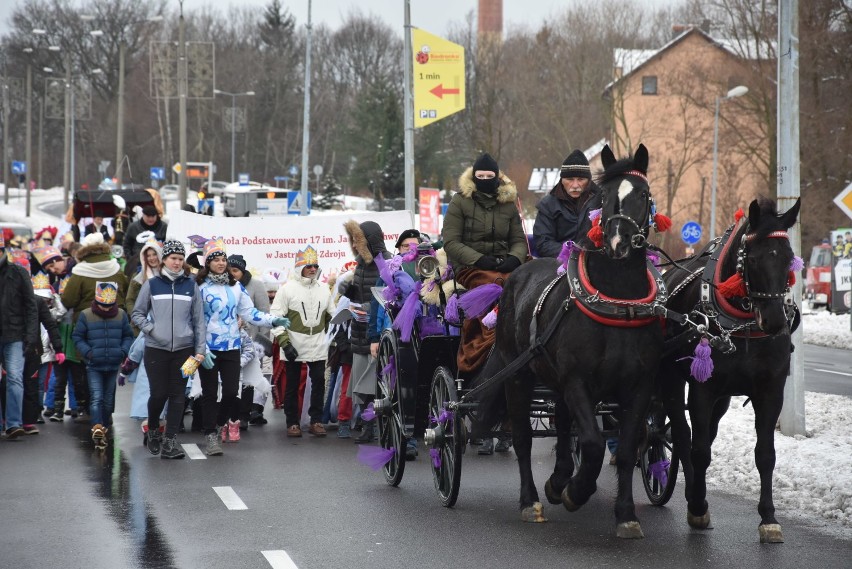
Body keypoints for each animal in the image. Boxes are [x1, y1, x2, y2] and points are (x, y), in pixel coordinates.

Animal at [480, 144, 664, 540]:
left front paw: (626, 515)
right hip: (518, 375)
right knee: (523, 438)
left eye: (643, 195)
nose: (618, 243)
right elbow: (593, 444)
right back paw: (532, 500)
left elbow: (627, 447)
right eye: (604, 197)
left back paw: (559, 477)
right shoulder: (578, 380)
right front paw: (576, 492)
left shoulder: (639, 385)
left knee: (563, 423)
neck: (618, 305)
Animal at [660, 195, 804, 540]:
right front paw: (698, 508)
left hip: (723, 398)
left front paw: (769, 518)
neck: (742, 324)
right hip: (671, 381)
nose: (775, 322)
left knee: (706, 434)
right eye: (752, 258)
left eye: (789, 258)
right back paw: (692, 495)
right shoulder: (703, 387)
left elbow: (765, 454)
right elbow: (699, 449)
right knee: (683, 434)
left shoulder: (771, 391)